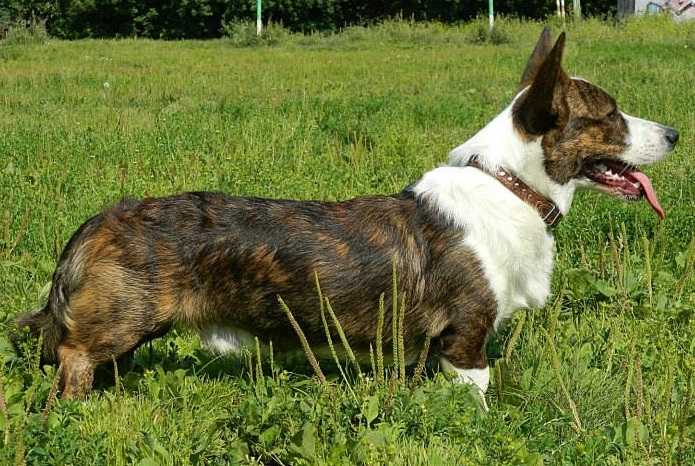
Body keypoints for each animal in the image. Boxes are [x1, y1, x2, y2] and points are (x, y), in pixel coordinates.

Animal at [17, 29, 680, 398]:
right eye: (610, 115)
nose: (675, 133)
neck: (511, 186)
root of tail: (96, 223)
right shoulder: (465, 342)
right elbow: (479, 398)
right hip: (119, 321)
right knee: (74, 356)